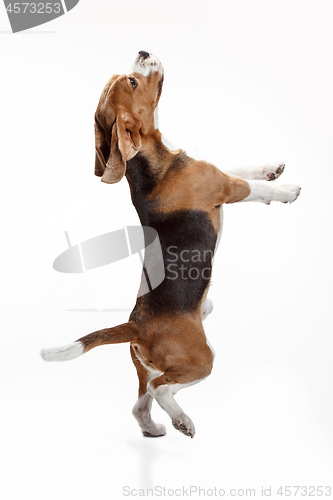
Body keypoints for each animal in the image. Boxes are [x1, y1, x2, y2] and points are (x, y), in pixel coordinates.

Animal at [40, 50, 300, 438]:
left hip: (144, 365)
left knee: (140, 402)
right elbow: (254, 188)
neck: (149, 160)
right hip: (201, 359)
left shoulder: (218, 171)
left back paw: (154, 427)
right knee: (159, 388)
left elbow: (244, 169)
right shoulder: (227, 188)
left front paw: (271, 169)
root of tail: (136, 324)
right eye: (133, 81)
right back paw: (182, 420)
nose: (143, 52)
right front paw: (286, 191)